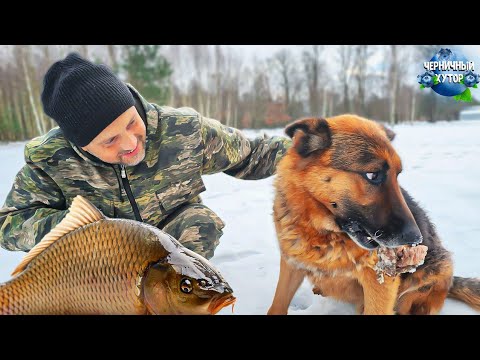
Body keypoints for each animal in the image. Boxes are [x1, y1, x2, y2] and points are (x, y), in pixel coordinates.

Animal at [268, 116, 480, 316]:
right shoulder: (291, 264)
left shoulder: (381, 283)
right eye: (372, 175)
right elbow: (277, 304)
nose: (416, 239)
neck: (322, 232)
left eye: (397, 175)